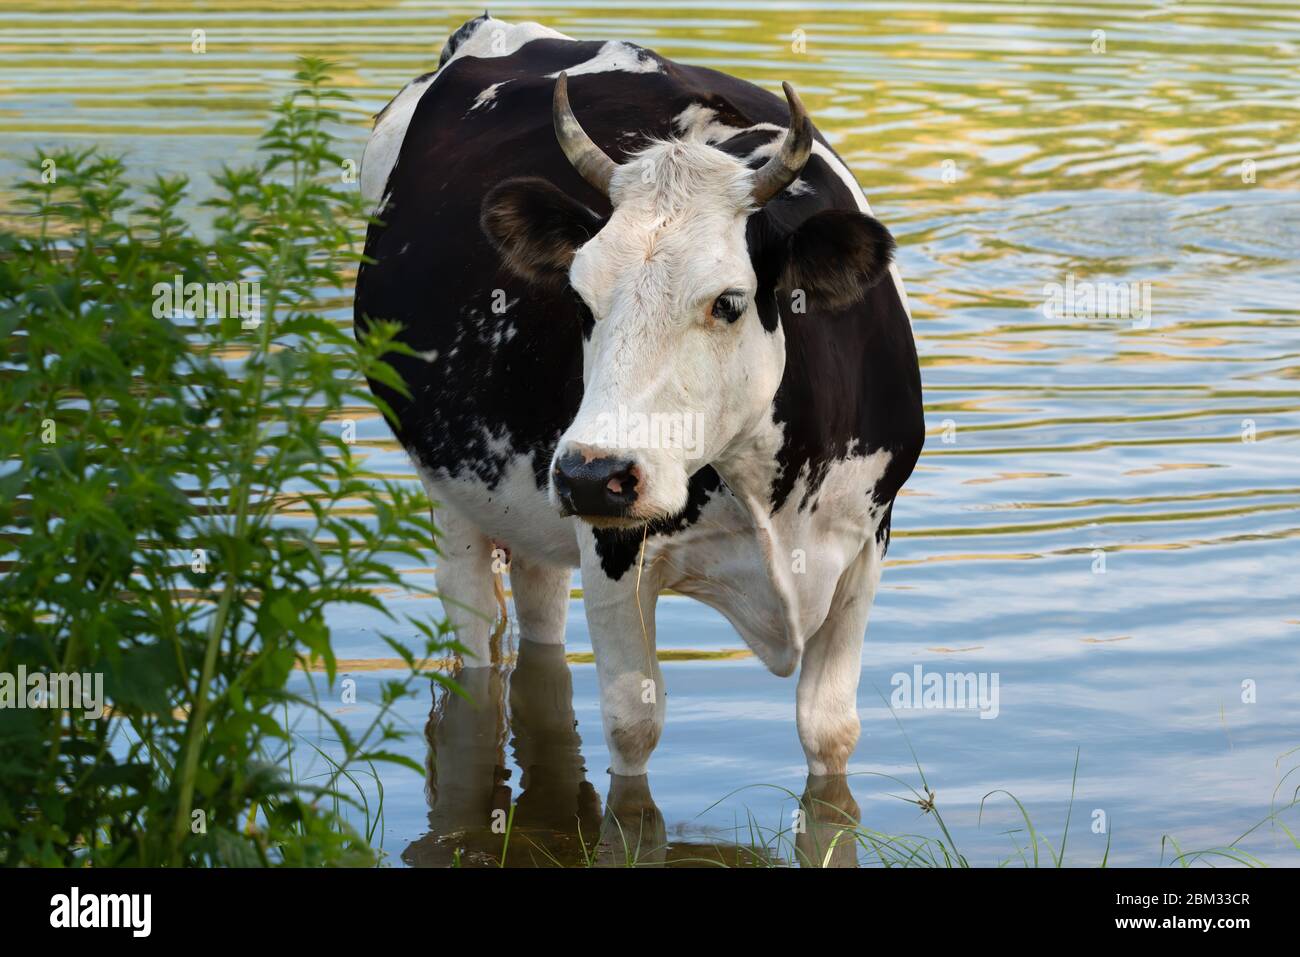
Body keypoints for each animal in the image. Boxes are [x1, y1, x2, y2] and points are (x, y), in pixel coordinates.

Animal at [356, 13, 925, 780]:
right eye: (579, 299)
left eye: (728, 302)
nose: (590, 473)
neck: (768, 494)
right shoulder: (611, 545)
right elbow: (633, 727)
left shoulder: (867, 537)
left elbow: (830, 731)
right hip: (452, 482)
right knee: (473, 627)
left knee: (538, 607)